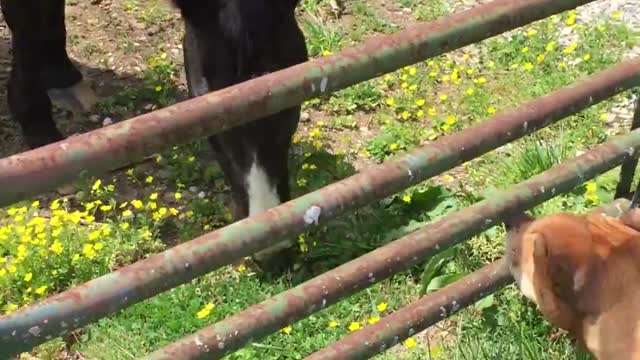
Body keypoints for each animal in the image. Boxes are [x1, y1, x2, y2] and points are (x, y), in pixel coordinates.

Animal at [0, 0, 310, 270]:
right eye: (214, 118)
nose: (273, 248)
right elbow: (28, 27)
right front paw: (40, 131)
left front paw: (61, 77)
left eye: (291, 106)